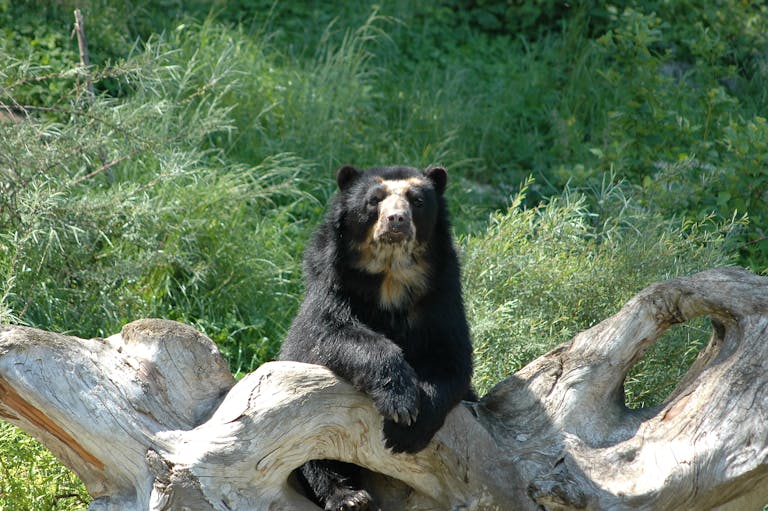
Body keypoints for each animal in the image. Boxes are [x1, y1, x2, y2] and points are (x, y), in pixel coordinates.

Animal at [279, 164, 473, 511]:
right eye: (374, 200)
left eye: (417, 200)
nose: (396, 219)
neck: (390, 276)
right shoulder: (332, 285)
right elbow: (334, 334)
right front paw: (400, 403)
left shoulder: (442, 297)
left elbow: (452, 359)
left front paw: (409, 428)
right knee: (313, 453)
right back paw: (349, 497)